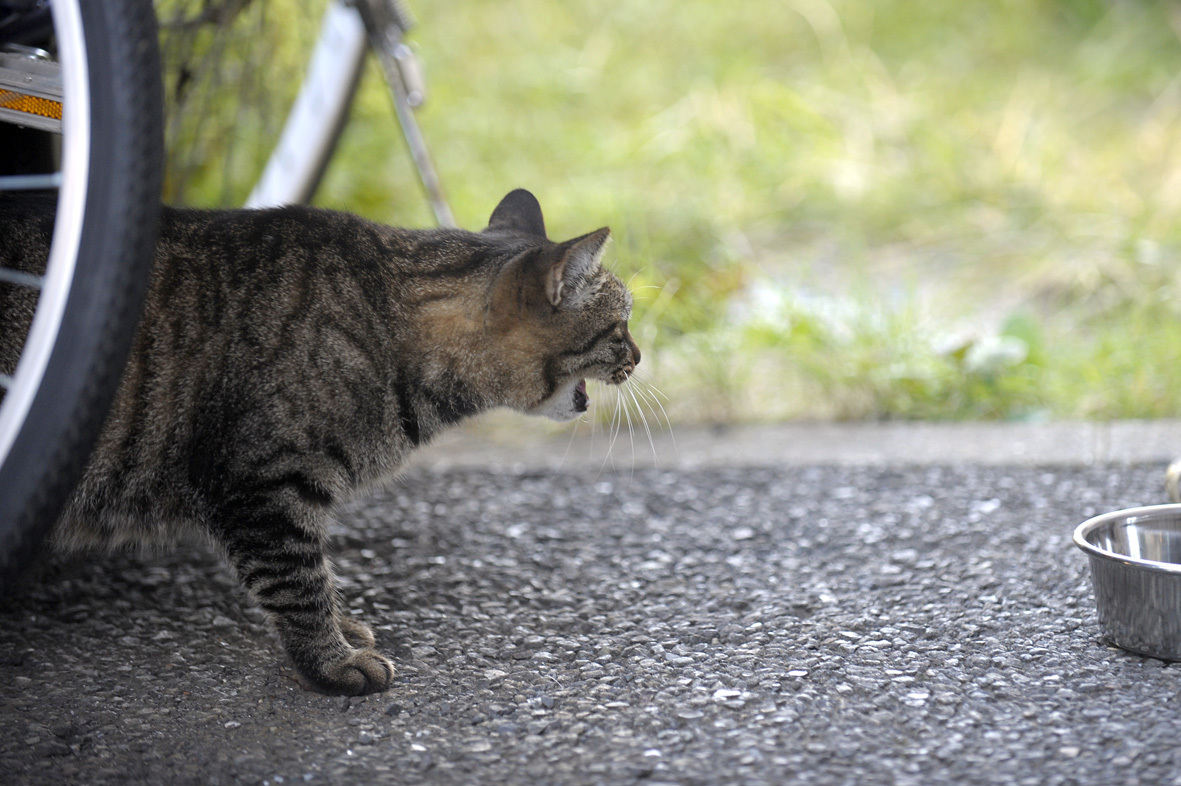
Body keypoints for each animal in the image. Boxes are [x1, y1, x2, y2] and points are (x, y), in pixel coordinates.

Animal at [0, 190, 642, 693]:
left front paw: (341, 627)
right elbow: (297, 580)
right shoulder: (265, 486)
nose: (639, 356)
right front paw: (331, 662)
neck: (391, 332)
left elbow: (316, 573)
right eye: (621, 325)